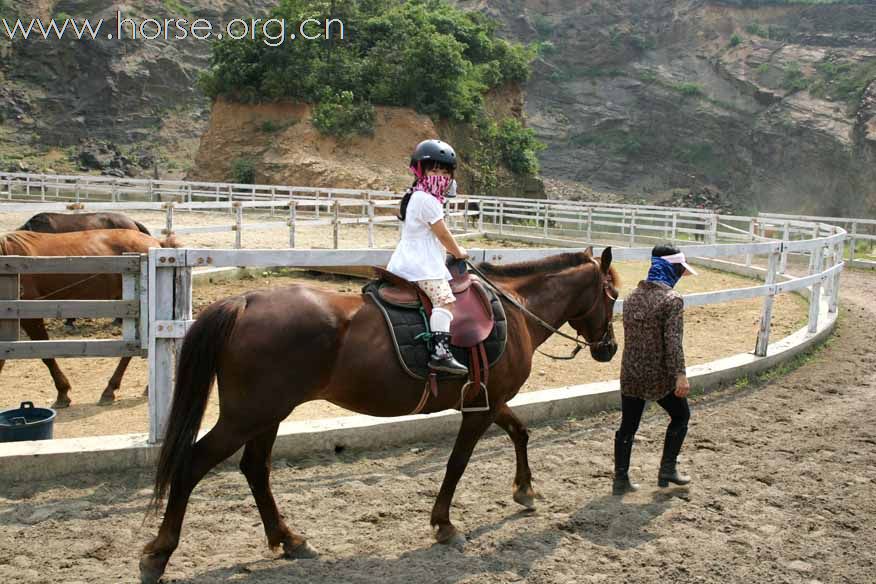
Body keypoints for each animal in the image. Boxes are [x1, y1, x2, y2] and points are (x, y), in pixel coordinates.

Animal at [0, 228, 180, 406]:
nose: (20, 289)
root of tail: (157, 243)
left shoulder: (30, 317)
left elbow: (45, 355)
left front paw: (62, 393)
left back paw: (113, 390)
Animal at [140, 245, 624, 580]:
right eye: (613, 294)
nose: (609, 349)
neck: (513, 308)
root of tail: (246, 301)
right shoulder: (480, 409)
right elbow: (457, 463)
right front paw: (444, 524)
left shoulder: (488, 399)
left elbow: (520, 432)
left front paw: (524, 491)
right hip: (247, 416)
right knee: (192, 464)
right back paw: (158, 553)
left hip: (267, 415)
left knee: (256, 469)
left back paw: (290, 540)